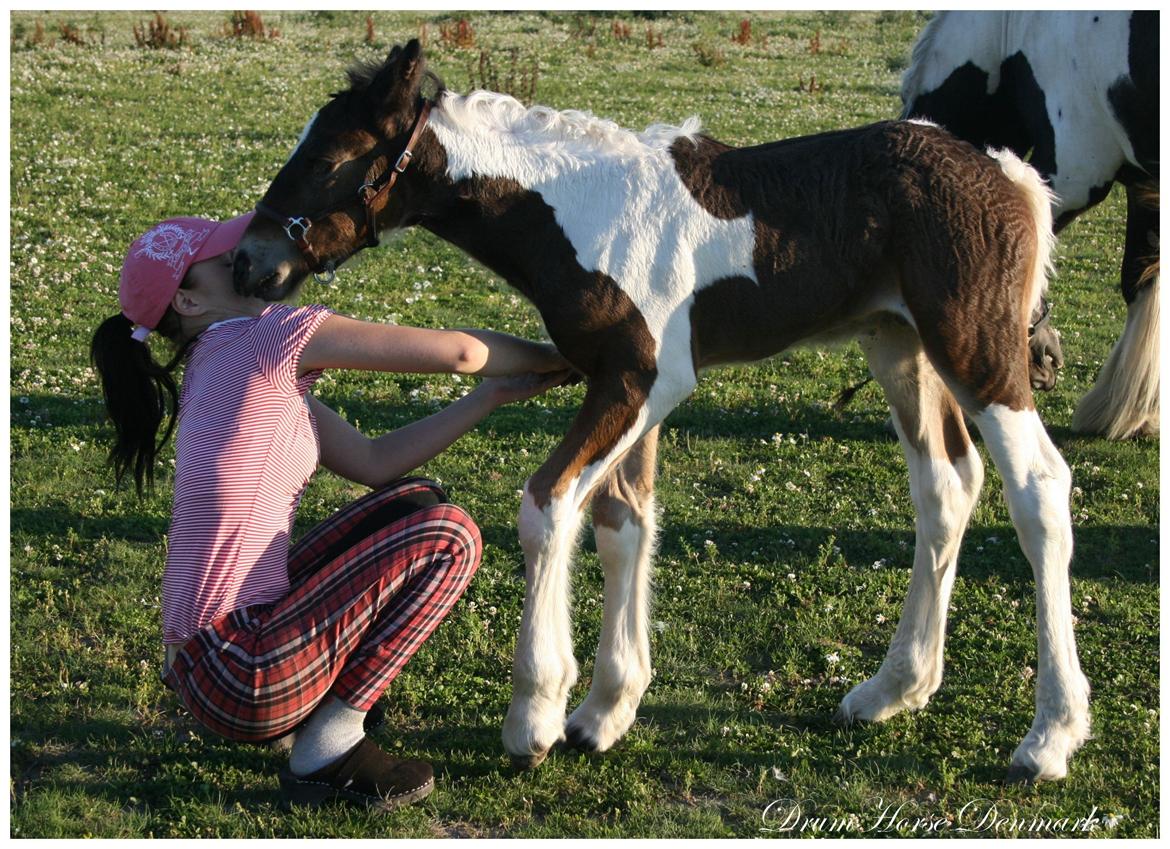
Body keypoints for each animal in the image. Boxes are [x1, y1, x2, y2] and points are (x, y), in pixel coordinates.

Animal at [232, 39, 1090, 785]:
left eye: (331, 159)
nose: (249, 261)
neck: (579, 211)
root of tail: (1009, 174)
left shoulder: (644, 380)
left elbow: (548, 506)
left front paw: (536, 714)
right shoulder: (627, 386)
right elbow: (624, 522)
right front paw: (605, 710)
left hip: (976, 350)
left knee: (1039, 488)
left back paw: (1049, 736)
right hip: (898, 343)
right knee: (946, 487)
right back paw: (892, 690)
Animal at [898, 11, 1155, 439]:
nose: (1052, 359)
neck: (1015, 28)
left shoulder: (1074, 174)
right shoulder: (1144, 183)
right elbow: (1141, 277)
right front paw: (1136, 414)